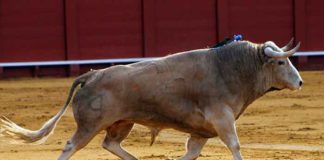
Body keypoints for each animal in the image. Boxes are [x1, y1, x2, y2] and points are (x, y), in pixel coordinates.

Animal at [0, 39, 304, 160]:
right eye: (280, 62)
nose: (300, 82)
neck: (235, 68)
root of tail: (92, 74)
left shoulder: (201, 131)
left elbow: (191, 153)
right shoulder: (222, 118)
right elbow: (235, 146)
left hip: (122, 123)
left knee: (110, 144)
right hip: (89, 125)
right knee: (70, 146)